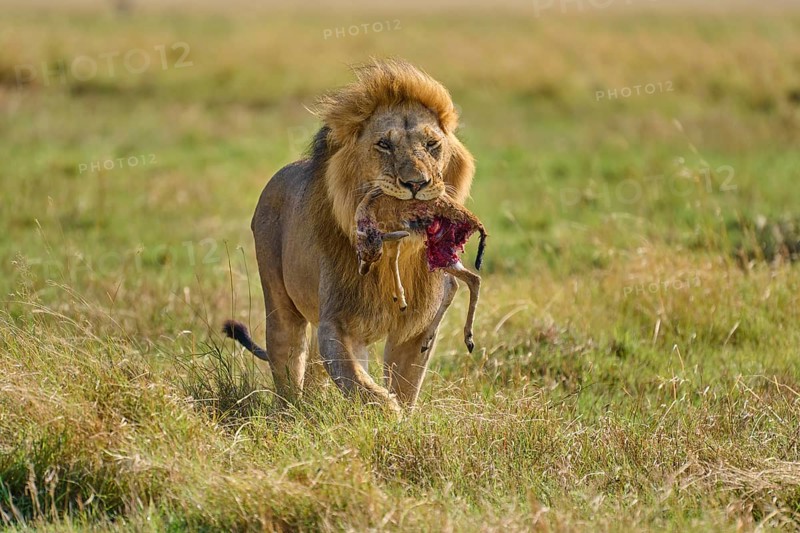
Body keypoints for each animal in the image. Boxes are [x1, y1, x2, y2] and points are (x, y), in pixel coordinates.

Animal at [223, 59, 475, 413]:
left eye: (431, 145)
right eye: (384, 144)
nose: (417, 183)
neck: (396, 252)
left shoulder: (417, 329)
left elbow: (404, 384)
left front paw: (404, 417)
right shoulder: (339, 324)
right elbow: (360, 385)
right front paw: (389, 414)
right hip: (280, 304)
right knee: (287, 361)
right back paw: (292, 412)